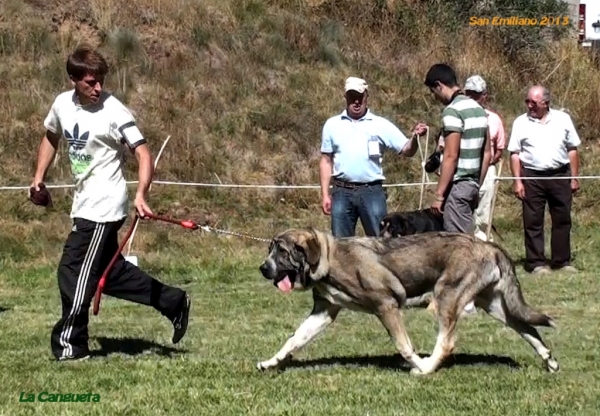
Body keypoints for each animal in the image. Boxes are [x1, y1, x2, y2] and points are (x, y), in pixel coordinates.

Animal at [256, 229, 556, 376]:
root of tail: (490, 246)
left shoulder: (386, 306)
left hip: (446, 296)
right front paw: (271, 363)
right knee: (528, 328)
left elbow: (404, 346)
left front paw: (418, 364)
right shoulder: (323, 312)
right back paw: (549, 361)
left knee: (446, 343)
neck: (330, 259)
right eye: (269, 250)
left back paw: (426, 369)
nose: (262, 268)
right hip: (495, 305)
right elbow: (293, 340)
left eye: (282, 252)